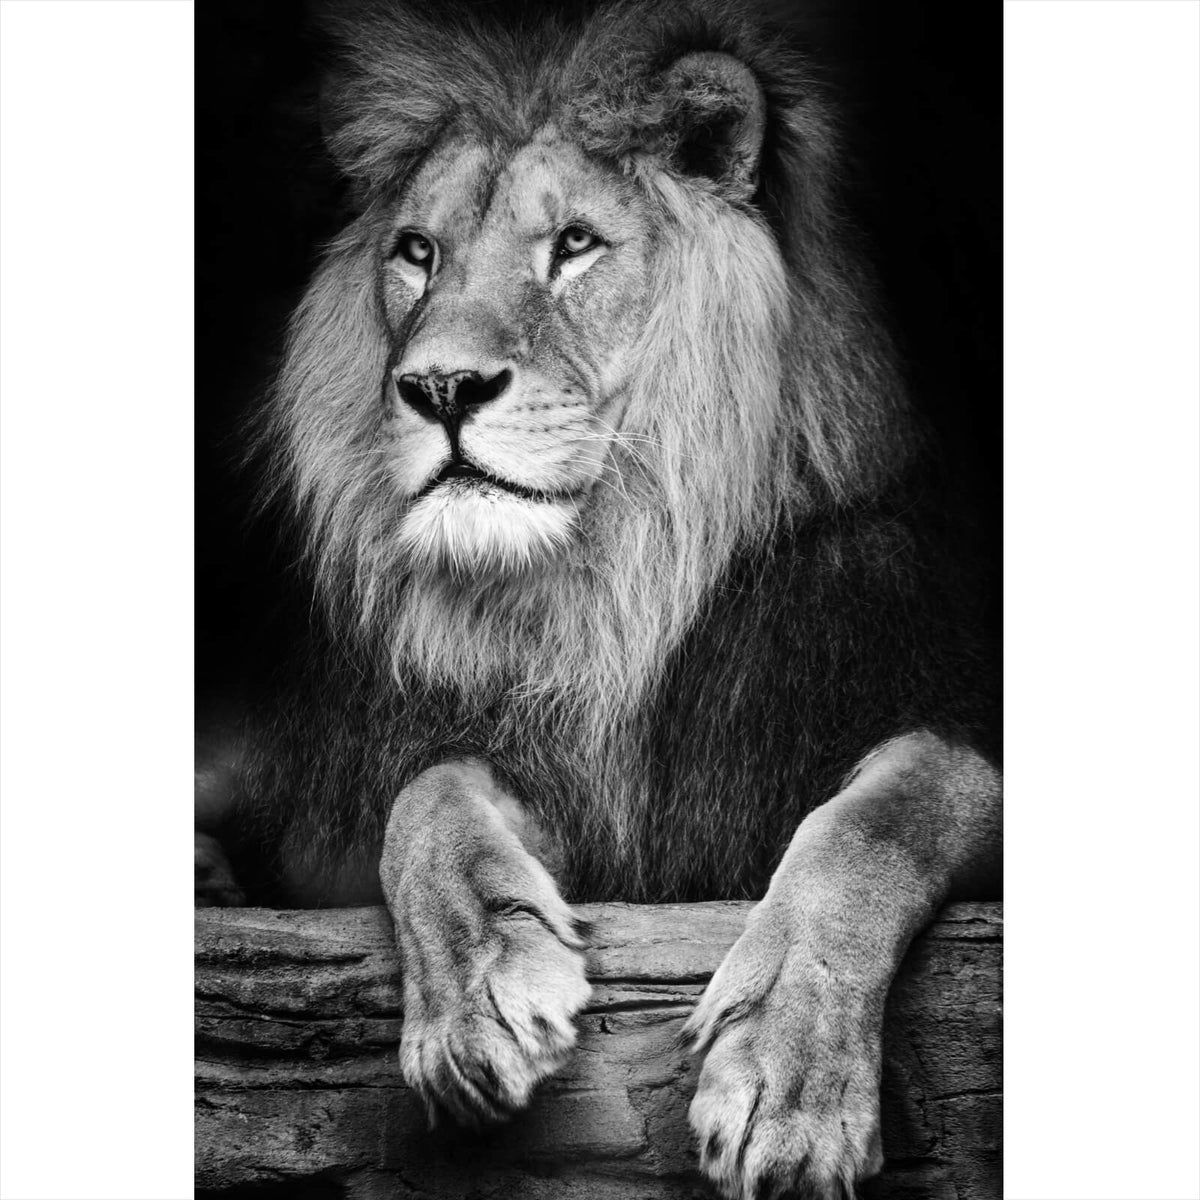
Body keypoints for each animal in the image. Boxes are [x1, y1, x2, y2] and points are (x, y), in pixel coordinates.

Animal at [196, 1, 1002, 1196]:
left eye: (573, 244)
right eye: (418, 253)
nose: (440, 387)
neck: (618, 589)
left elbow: (883, 819)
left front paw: (788, 1079)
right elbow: (425, 795)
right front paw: (477, 994)